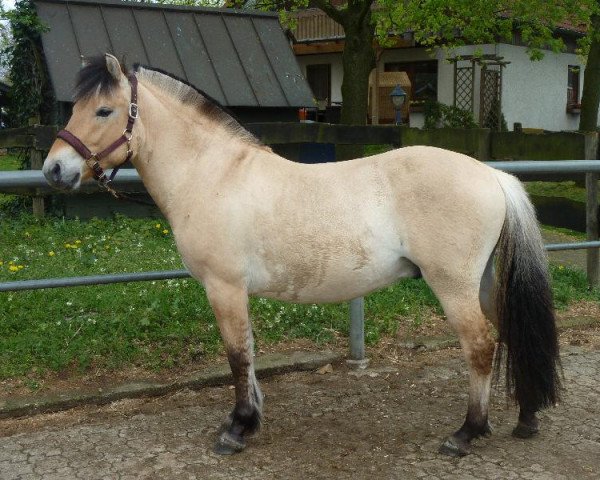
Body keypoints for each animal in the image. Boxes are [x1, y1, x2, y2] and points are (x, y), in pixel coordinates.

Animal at [43, 53, 564, 458]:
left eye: (104, 110)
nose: (54, 170)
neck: (214, 174)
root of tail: (493, 175)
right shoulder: (234, 292)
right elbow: (249, 353)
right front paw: (248, 420)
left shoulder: (224, 288)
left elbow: (237, 355)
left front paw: (237, 428)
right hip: (486, 283)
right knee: (510, 333)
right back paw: (526, 418)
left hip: (454, 286)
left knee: (479, 346)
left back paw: (466, 434)